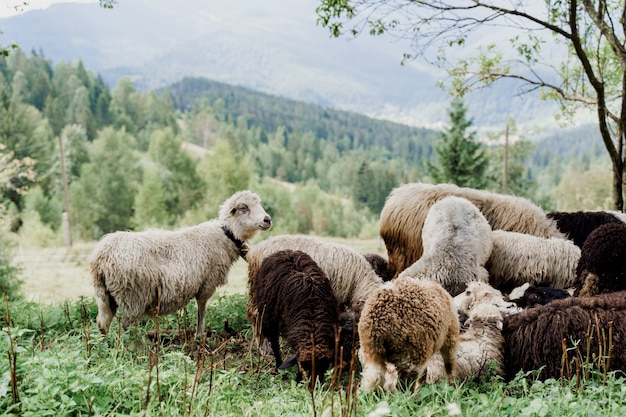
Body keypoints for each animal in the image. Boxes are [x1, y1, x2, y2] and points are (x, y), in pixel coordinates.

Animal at [91, 190, 270, 334]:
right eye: (243, 208)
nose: (267, 219)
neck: (226, 235)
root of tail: (102, 255)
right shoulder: (207, 283)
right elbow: (202, 310)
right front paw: (199, 335)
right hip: (133, 297)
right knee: (126, 328)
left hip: (104, 295)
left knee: (102, 323)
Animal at [249, 247, 338, 386]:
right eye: (301, 367)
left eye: (323, 367)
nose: (312, 387)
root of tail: (285, 251)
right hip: (268, 316)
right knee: (274, 342)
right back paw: (278, 366)